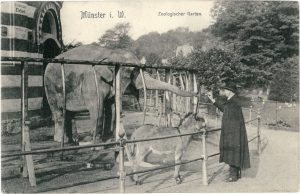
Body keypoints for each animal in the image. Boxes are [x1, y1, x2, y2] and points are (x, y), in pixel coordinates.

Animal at [42, 44, 197, 144]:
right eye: (131, 72)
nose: (196, 93)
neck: (111, 53)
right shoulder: (92, 80)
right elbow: (97, 107)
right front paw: (95, 141)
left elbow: (110, 107)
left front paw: (108, 139)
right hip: (50, 87)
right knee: (58, 112)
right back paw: (61, 140)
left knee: (68, 113)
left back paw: (71, 140)